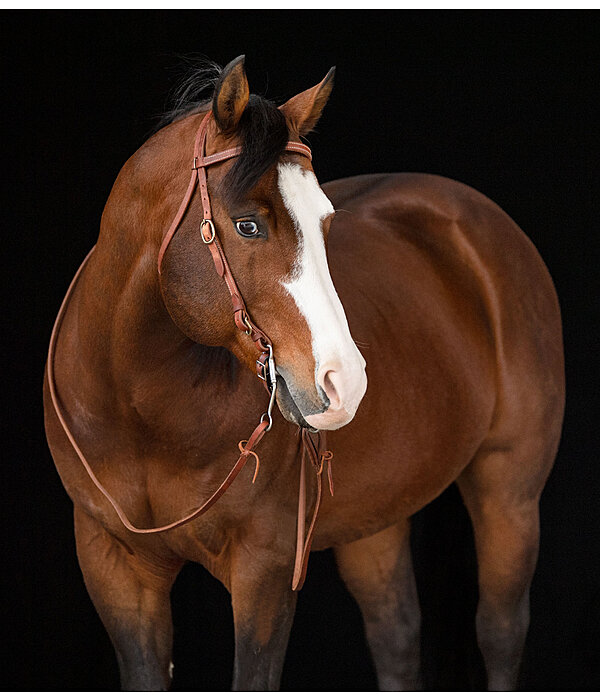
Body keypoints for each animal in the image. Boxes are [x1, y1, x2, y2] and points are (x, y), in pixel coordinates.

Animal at [44, 57, 564, 692]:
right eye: (247, 226)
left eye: (325, 223)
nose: (346, 382)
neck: (141, 411)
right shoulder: (115, 567)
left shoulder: (264, 572)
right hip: (378, 518)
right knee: (396, 634)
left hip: (509, 490)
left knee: (500, 630)